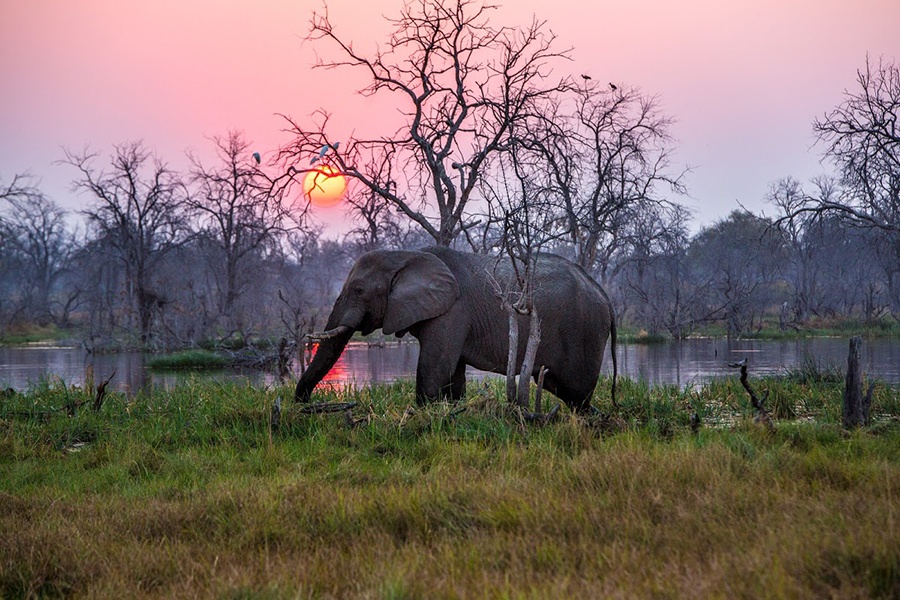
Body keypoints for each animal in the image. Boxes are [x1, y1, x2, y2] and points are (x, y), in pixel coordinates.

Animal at [296, 245, 620, 412]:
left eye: (359, 290)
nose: (305, 404)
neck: (406, 255)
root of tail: (604, 294)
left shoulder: (452, 311)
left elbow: (434, 367)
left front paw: (423, 413)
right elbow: (453, 374)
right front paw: (451, 409)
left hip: (584, 332)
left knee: (576, 392)